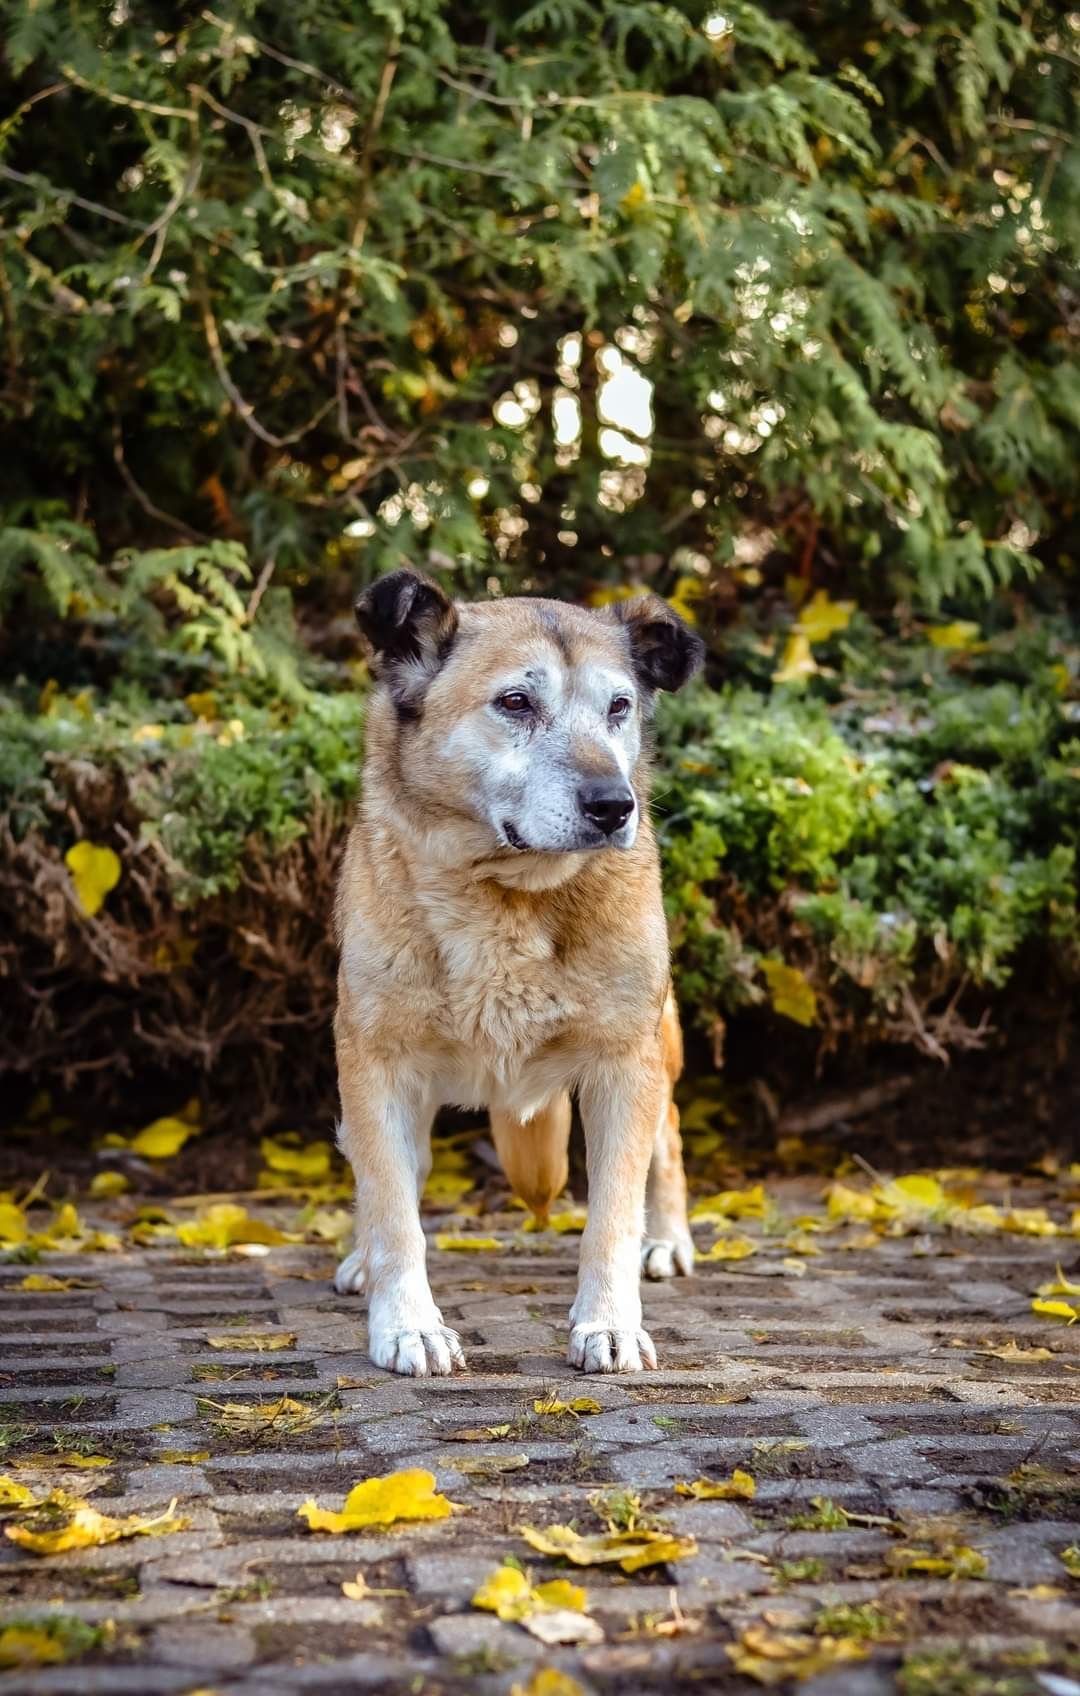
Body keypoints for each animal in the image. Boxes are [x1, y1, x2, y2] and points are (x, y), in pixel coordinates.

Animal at [332, 569, 701, 1377]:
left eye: (619, 707)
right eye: (516, 703)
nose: (614, 806)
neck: (510, 898)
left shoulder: (623, 1064)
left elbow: (611, 1218)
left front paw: (609, 1323)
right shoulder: (375, 1061)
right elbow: (393, 1207)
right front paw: (408, 1324)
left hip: (660, 1042)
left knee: (670, 1134)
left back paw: (668, 1237)